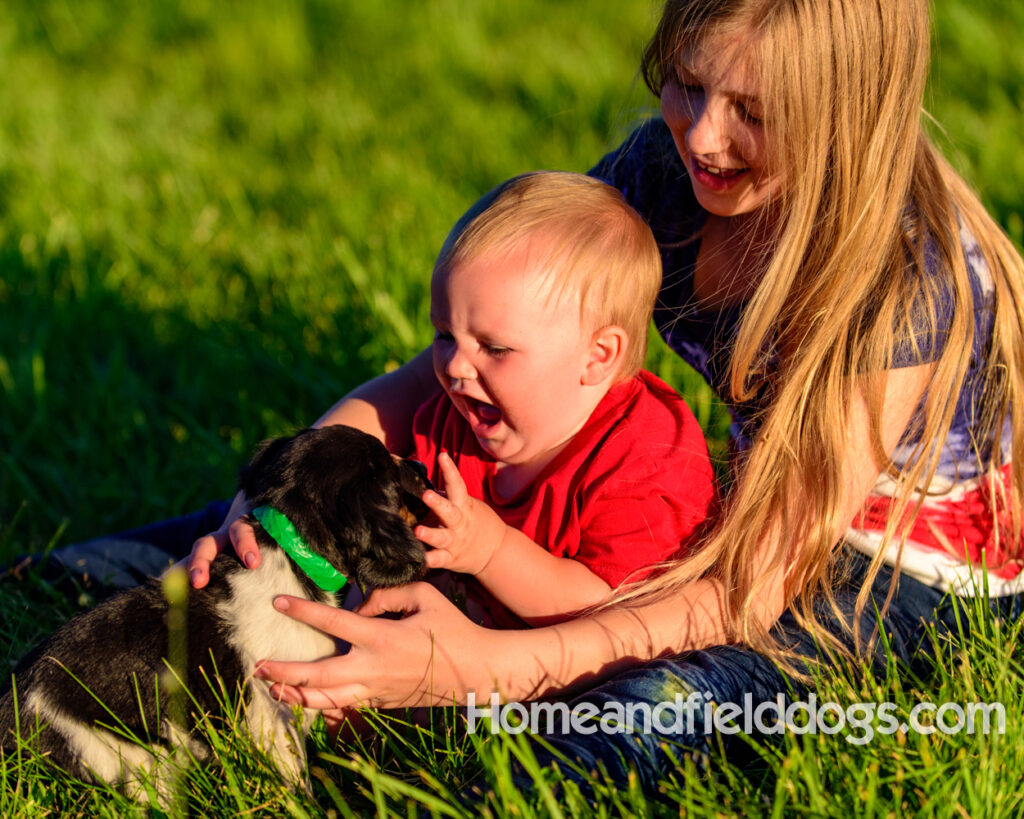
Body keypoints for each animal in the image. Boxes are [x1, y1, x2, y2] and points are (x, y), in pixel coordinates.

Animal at [0, 427, 425, 794]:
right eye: (391, 468)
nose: (421, 466)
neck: (288, 554)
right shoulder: (271, 714)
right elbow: (294, 774)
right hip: (122, 754)